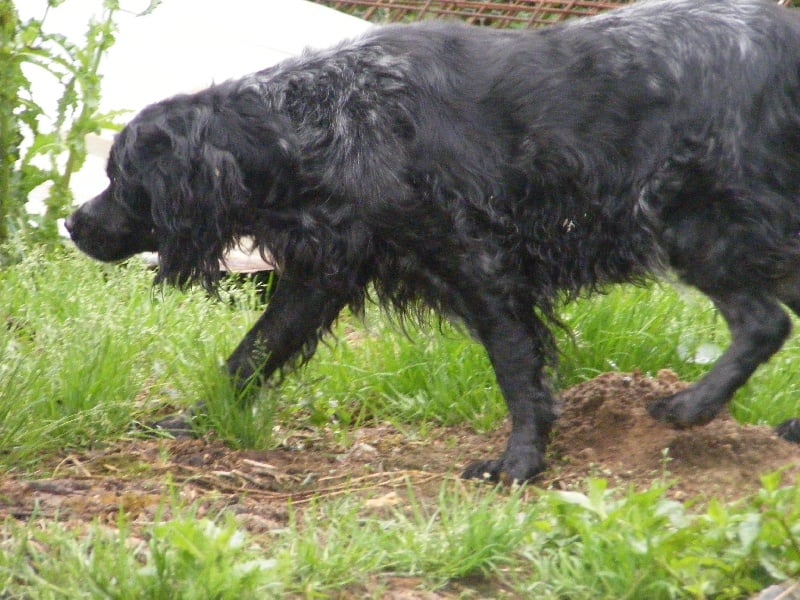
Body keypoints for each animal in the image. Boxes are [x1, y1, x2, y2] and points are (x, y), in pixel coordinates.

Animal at [65, 0, 800, 482]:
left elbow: (517, 373)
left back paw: (690, 407)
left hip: (696, 227)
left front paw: (518, 464)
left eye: (120, 179)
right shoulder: (320, 278)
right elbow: (250, 354)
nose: (74, 222)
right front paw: (190, 421)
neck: (313, 124)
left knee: (764, 323)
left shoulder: (482, 267)